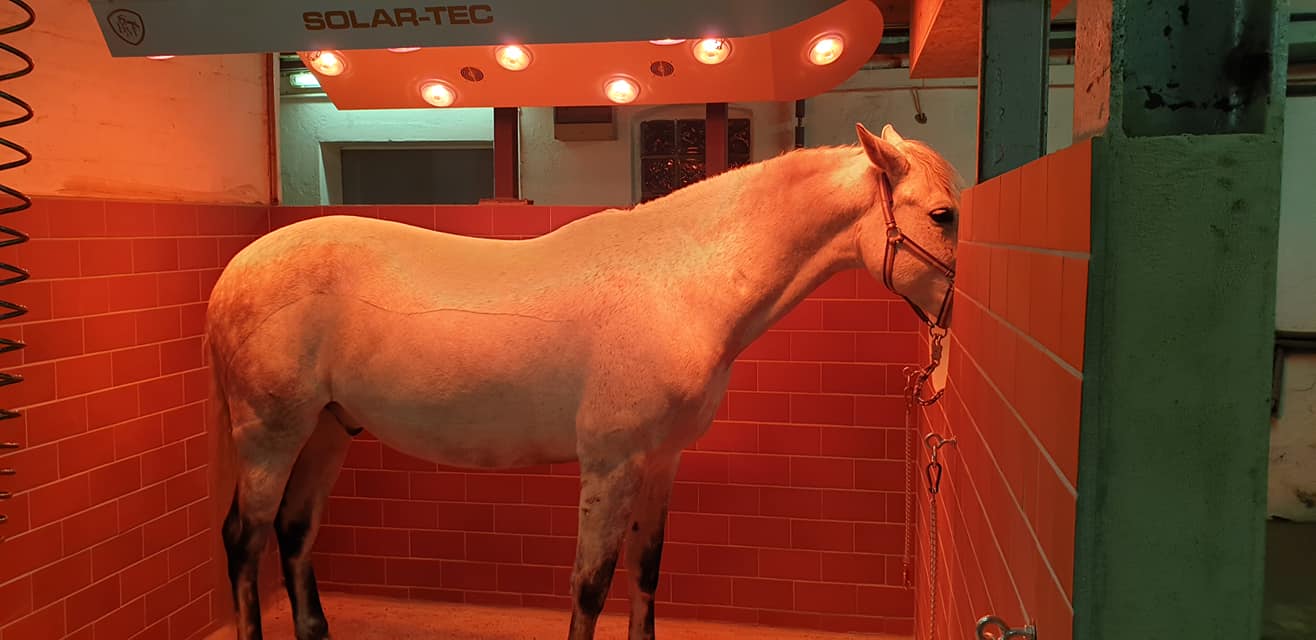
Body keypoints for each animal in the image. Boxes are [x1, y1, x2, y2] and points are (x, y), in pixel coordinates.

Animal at [206, 122, 960, 640]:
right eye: (942, 215)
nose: (955, 319)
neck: (677, 282)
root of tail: (236, 269)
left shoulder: (660, 461)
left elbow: (646, 574)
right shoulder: (610, 463)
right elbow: (591, 586)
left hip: (328, 430)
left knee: (294, 533)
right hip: (270, 434)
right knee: (245, 538)